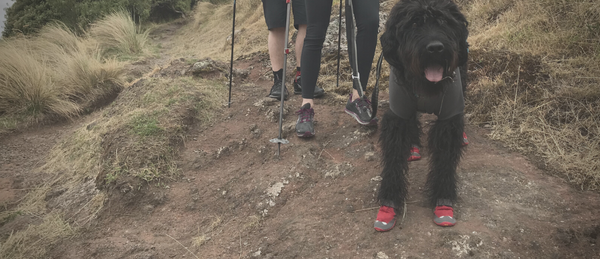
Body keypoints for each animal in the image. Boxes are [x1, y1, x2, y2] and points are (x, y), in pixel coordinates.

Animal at [376, 0, 468, 232]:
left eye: (443, 21)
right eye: (414, 23)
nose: (435, 48)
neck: (428, 86)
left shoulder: (449, 118)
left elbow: (445, 161)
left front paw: (443, 203)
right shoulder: (398, 113)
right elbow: (393, 159)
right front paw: (389, 203)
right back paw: (413, 146)